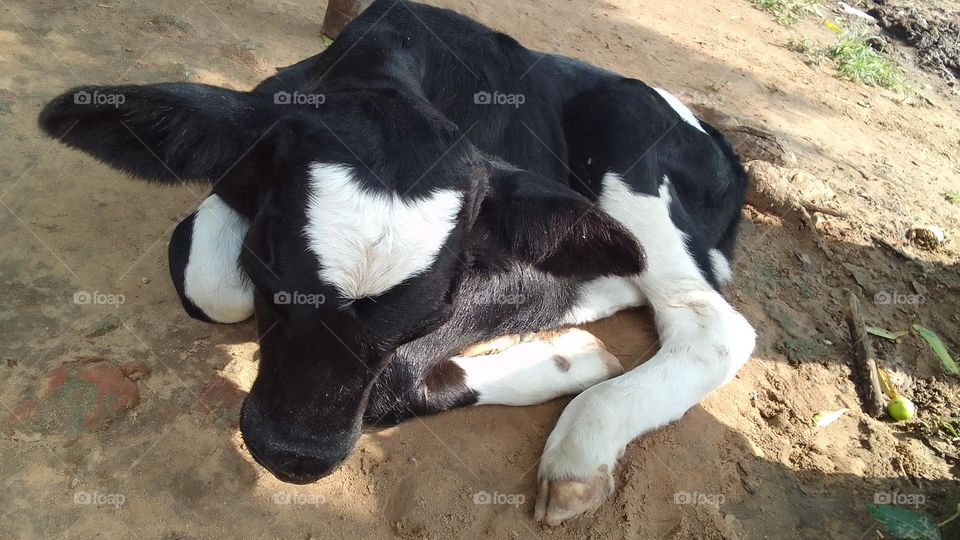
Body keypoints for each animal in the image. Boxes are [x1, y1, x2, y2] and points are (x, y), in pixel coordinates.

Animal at [38, 0, 755, 524]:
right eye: (268, 274)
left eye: (425, 318)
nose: (295, 455)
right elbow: (213, 285)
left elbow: (396, 381)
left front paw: (566, 356)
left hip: (628, 140)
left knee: (709, 320)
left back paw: (583, 443)